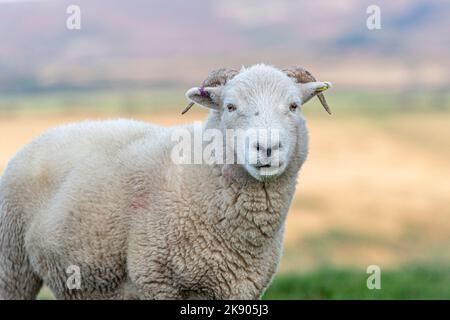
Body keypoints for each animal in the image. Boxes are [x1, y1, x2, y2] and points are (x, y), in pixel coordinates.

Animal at [0, 63, 330, 298]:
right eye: (230, 107)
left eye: (294, 106)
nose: (267, 148)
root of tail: (49, 132)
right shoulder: (156, 279)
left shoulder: (240, 289)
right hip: (12, 262)